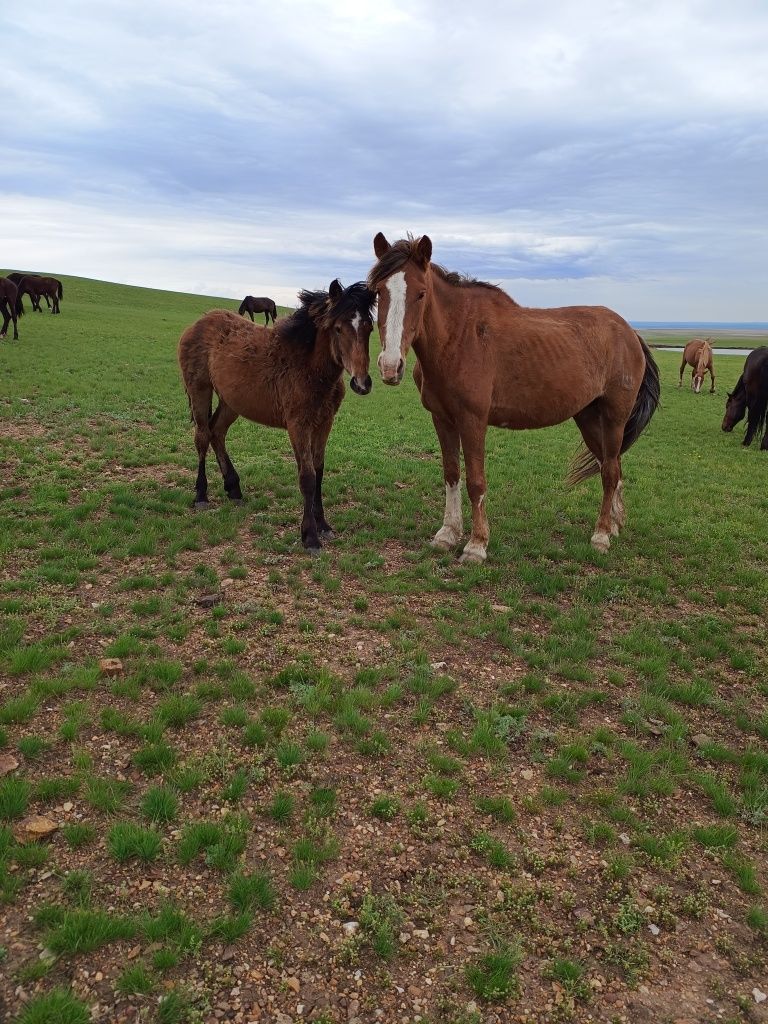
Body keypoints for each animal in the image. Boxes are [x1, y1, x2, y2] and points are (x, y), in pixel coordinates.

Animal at [178, 280, 376, 552]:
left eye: (369, 327)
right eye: (337, 328)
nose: (361, 383)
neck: (308, 367)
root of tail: (198, 323)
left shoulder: (324, 422)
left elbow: (319, 470)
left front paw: (323, 525)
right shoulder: (298, 425)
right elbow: (307, 476)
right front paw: (310, 536)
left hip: (231, 401)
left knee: (217, 432)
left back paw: (234, 488)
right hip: (200, 389)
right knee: (202, 436)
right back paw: (201, 495)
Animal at [366, 233, 663, 561]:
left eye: (420, 294)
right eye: (378, 292)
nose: (390, 366)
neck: (460, 337)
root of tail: (630, 332)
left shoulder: (473, 420)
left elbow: (476, 481)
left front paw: (476, 545)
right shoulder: (442, 419)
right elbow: (452, 474)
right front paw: (447, 534)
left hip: (614, 417)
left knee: (609, 471)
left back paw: (600, 536)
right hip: (588, 417)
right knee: (612, 466)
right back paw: (613, 525)